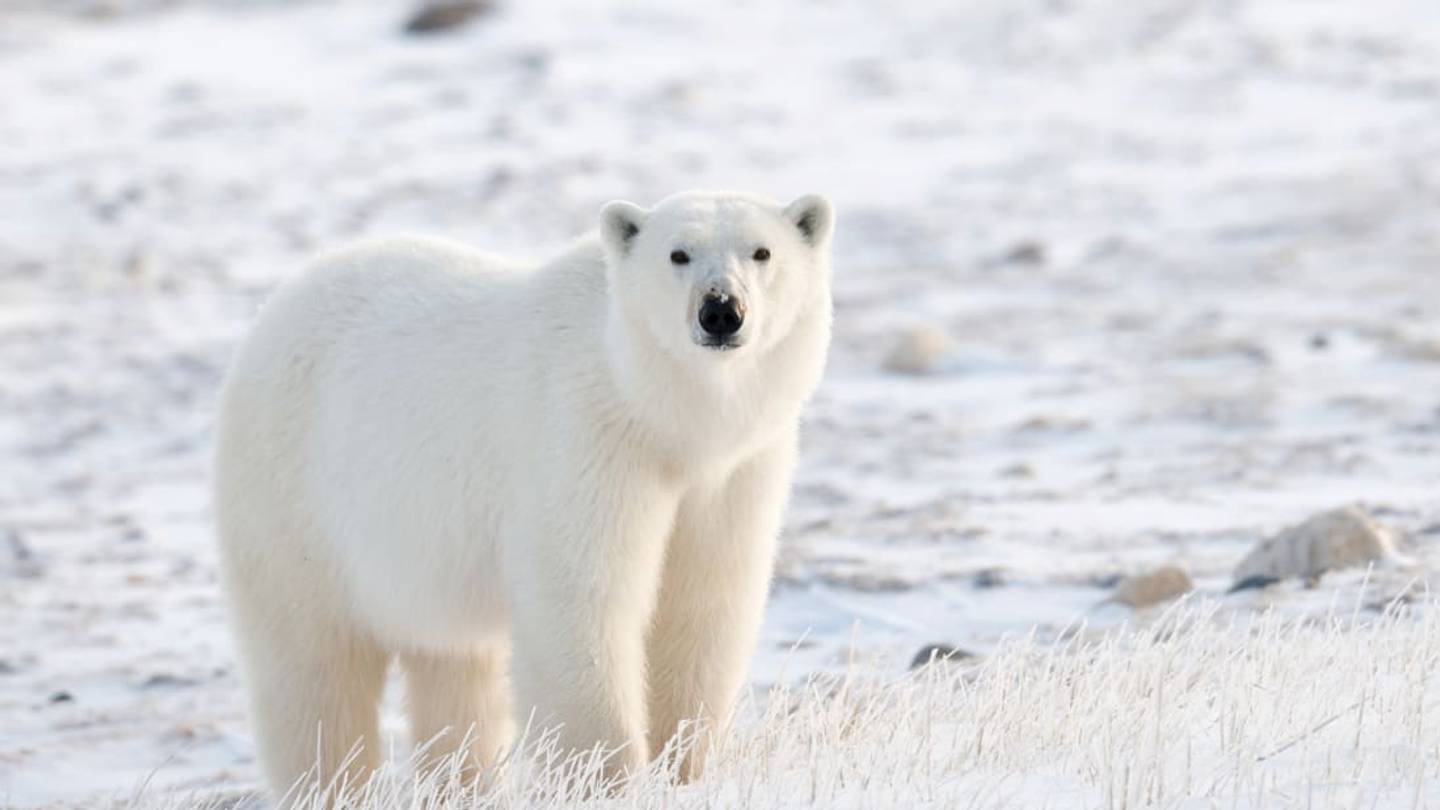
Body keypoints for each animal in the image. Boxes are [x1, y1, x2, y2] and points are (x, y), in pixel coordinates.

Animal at [212, 190, 835, 799]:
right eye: (678, 254)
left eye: (762, 252)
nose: (721, 310)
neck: (661, 416)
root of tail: (277, 305)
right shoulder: (585, 439)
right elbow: (581, 599)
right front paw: (605, 778)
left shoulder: (733, 472)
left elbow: (703, 602)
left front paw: (682, 769)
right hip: (293, 499)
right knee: (313, 668)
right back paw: (332, 783)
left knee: (454, 670)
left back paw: (462, 784)